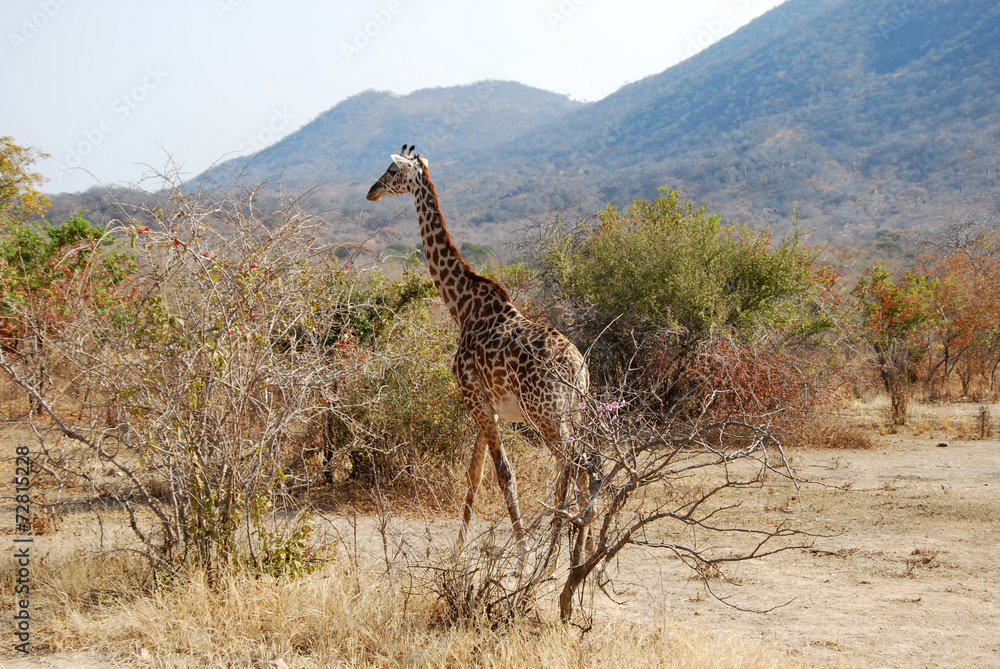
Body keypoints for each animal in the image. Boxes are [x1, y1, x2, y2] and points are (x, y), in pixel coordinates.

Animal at [367, 145, 590, 554]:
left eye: (391, 169)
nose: (371, 191)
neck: (462, 305)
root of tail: (578, 368)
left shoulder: (473, 397)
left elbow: (503, 474)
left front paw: (521, 555)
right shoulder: (489, 405)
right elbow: (474, 472)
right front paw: (457, 552)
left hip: (547, 415)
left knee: (575, 464)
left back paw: (559, 552)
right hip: (575, 413)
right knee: (581, 467)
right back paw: (577, 552)